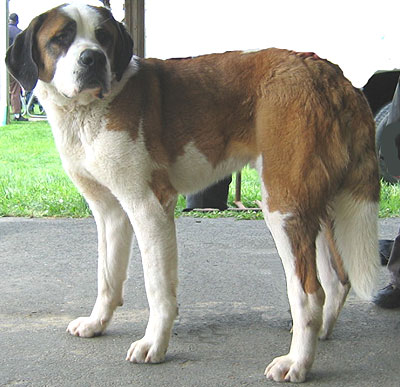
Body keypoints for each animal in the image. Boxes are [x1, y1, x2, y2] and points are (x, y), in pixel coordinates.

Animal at [7, 2, 382, 384]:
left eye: (103, 37)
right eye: (61, 38)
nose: (92, 58)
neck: (87, 110)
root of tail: (331, 74)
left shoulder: (150, 206)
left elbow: (158, 287)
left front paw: (154, 345)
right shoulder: (110, 212)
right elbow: (107, 276)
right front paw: (97, 323)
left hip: (284, 203)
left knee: (309, 292)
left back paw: (297, 362)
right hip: (310, 204)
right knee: (336, 280)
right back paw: (320, 334)